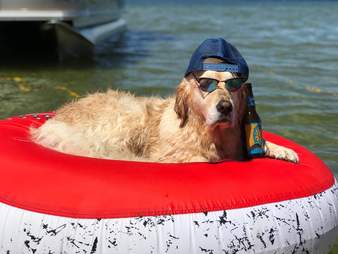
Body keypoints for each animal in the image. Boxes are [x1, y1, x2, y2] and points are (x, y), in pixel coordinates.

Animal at [30, 67, 298, 164]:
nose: (225, 107)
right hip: (128, 114)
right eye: (206, 84)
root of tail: (53, 122)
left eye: (233, 86)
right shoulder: (167, 152)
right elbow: (196, 158)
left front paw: (284, 150)